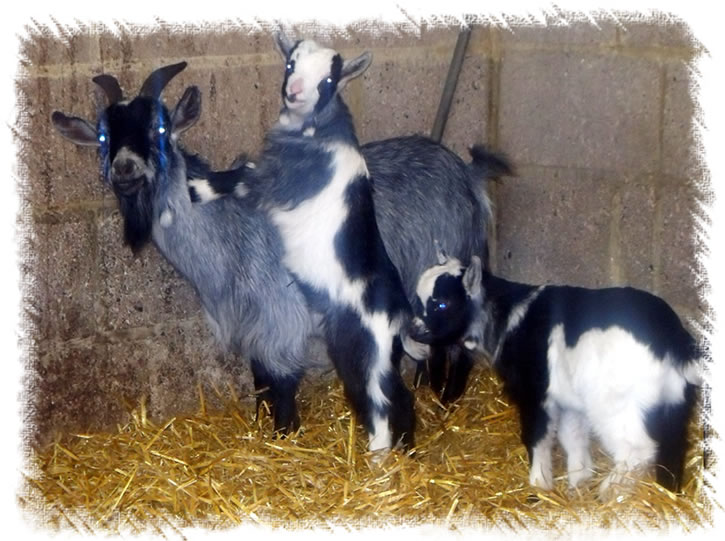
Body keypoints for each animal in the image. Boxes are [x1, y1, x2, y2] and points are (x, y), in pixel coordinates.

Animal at [51, 63, 315, 435]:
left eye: (159, 127)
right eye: (104, 137)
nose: (124, 168)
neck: (233, 230)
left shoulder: (283, 314)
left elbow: (283, 381)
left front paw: (284, 434)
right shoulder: (252, 324)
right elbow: (261, 380)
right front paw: (259, 427)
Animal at [410, 254, 701, 497]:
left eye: (442, 304)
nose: (414, 330)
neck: (507, 317)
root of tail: (673, 340)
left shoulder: (535, 392)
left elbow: (536, 436)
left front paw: (539, 485)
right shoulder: (570, 401)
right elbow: (572, 437)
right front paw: (577, 483)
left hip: (617, 404)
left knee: (639, 448)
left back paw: (609, 493)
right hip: (674, 400)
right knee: (674, 444)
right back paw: (668, 493)